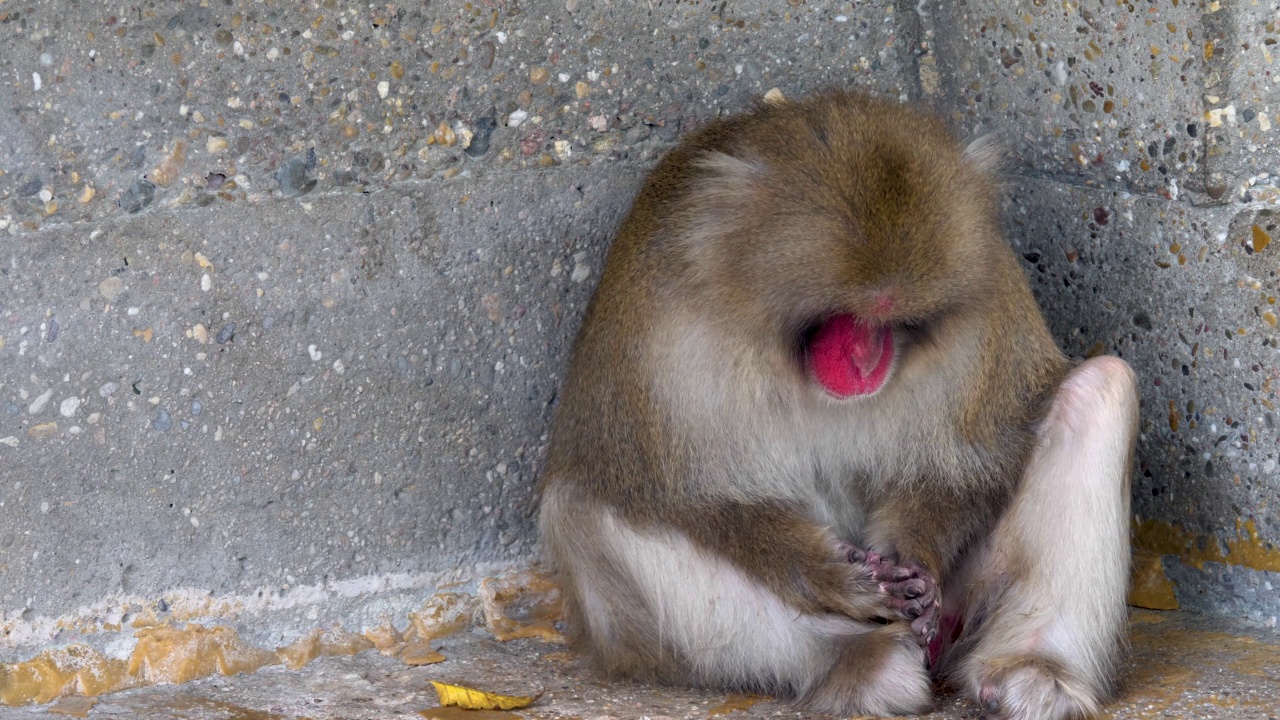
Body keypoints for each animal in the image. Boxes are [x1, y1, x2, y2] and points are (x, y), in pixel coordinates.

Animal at [535, 90, 1136, 717]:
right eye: (845, 316)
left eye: (893, 320)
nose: (867, 361)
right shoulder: (662, 334)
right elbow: (682, 495)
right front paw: (829, 577)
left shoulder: (989, 296)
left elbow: (972, 460)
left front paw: (918, 560)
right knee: (583, 506)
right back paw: (860, 662)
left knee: (1101, 391)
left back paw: (1034, 666)